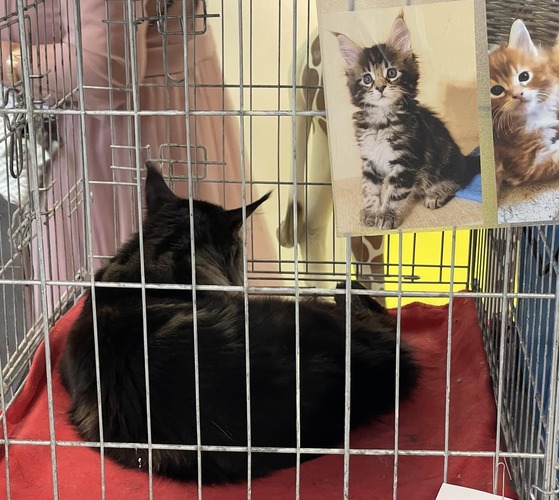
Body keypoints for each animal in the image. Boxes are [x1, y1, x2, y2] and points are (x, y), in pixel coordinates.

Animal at [336, 14, 480, 230]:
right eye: (367, 79)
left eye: (391, 73)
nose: (380, 87)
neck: (381, 120)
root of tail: (464, 158)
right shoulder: (369, 159)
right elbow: (369, 188)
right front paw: (371, 211)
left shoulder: (406, 159)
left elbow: (395, 192)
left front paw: (386, 215)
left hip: (446, 161)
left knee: (457, 181)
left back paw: (436, 194)